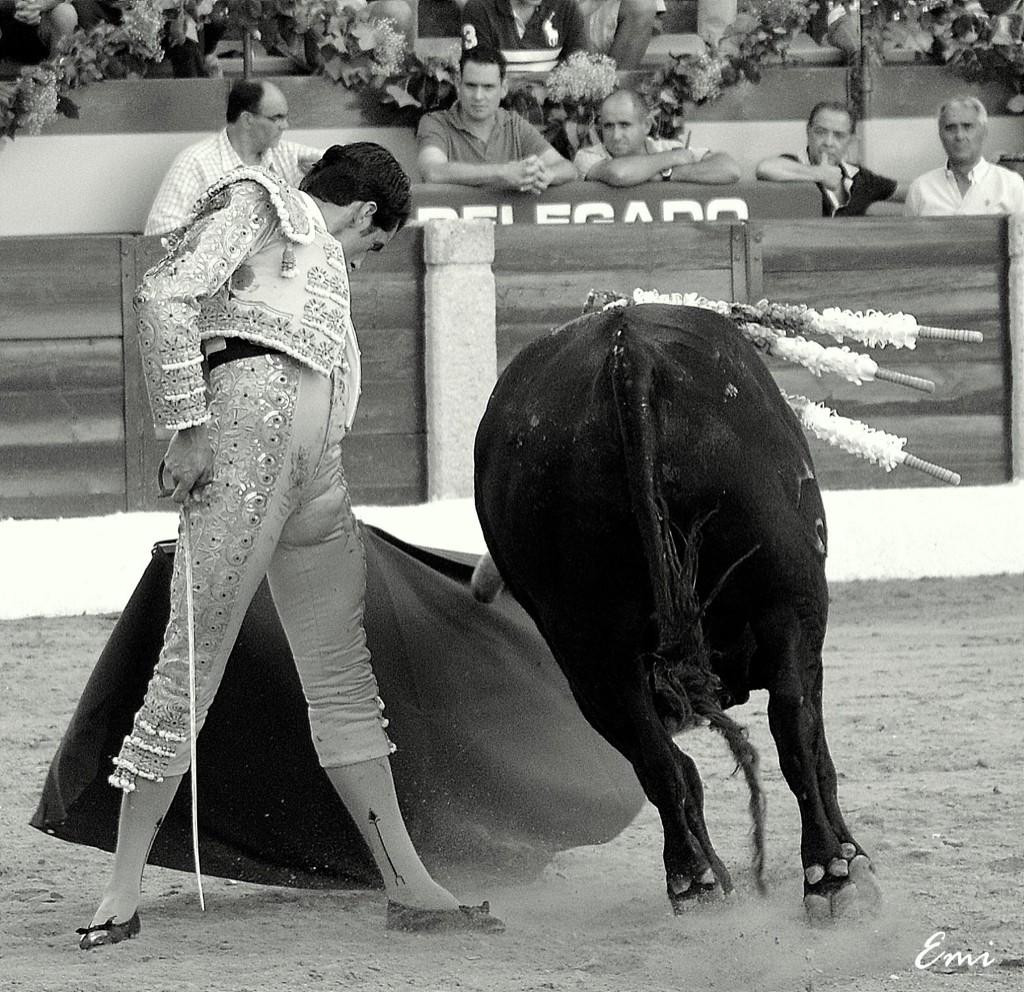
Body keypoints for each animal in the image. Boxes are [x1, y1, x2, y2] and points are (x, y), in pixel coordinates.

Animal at [471, 303, 880, 921]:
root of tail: (626, 350)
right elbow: (818, 749)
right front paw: (855, 858)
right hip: (789, 601)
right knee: (791, 724)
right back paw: (829, 874)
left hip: (588, 649)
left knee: (658, 759)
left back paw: (696, 882)